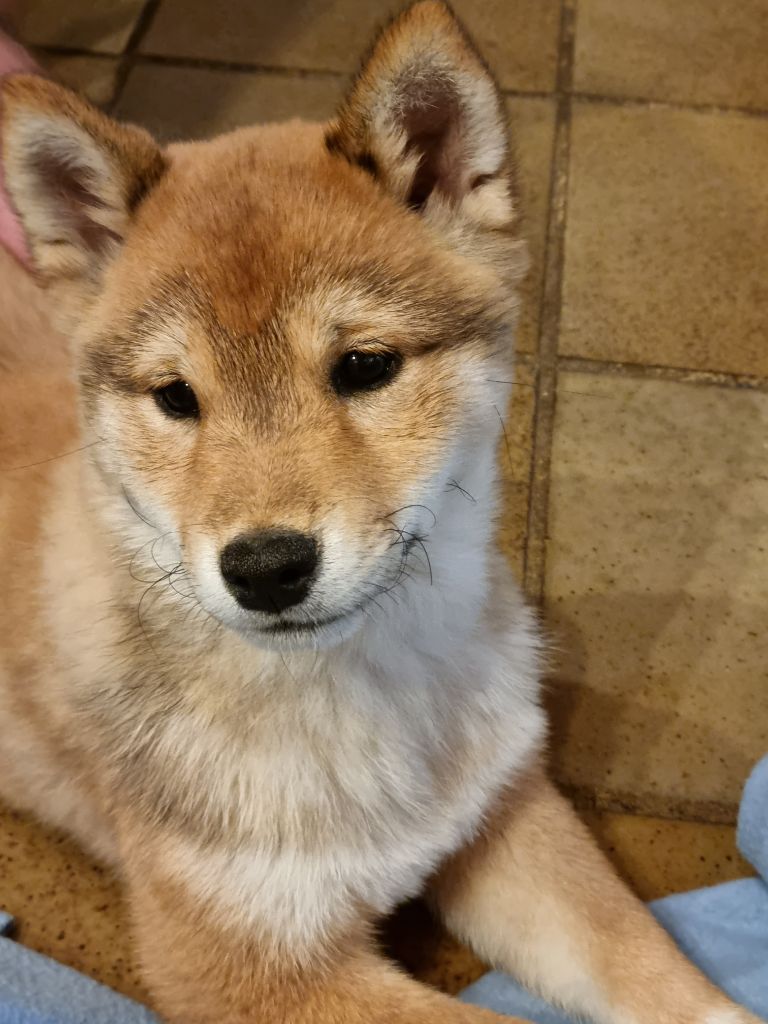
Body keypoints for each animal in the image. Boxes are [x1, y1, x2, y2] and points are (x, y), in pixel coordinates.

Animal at [0, 3, 759, 1022]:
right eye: (175, 397)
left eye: (365, 366)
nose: (266, 567)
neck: (364, 697)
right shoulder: (242, 966)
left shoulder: (503, 811)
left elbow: (649, 965)